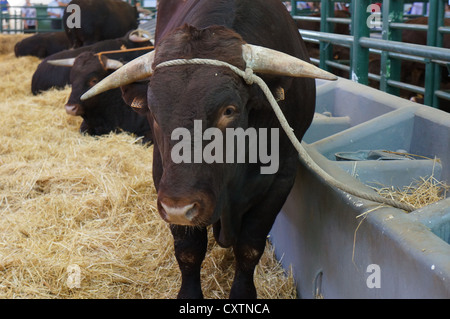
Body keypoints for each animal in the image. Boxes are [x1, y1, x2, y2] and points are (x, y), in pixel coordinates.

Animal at [82, 0, 336, 300]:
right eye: (153, 113)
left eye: (229, 110)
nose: (180, 208)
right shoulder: (162, 175)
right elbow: (189, 251)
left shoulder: (281, 178)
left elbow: (249, 248)